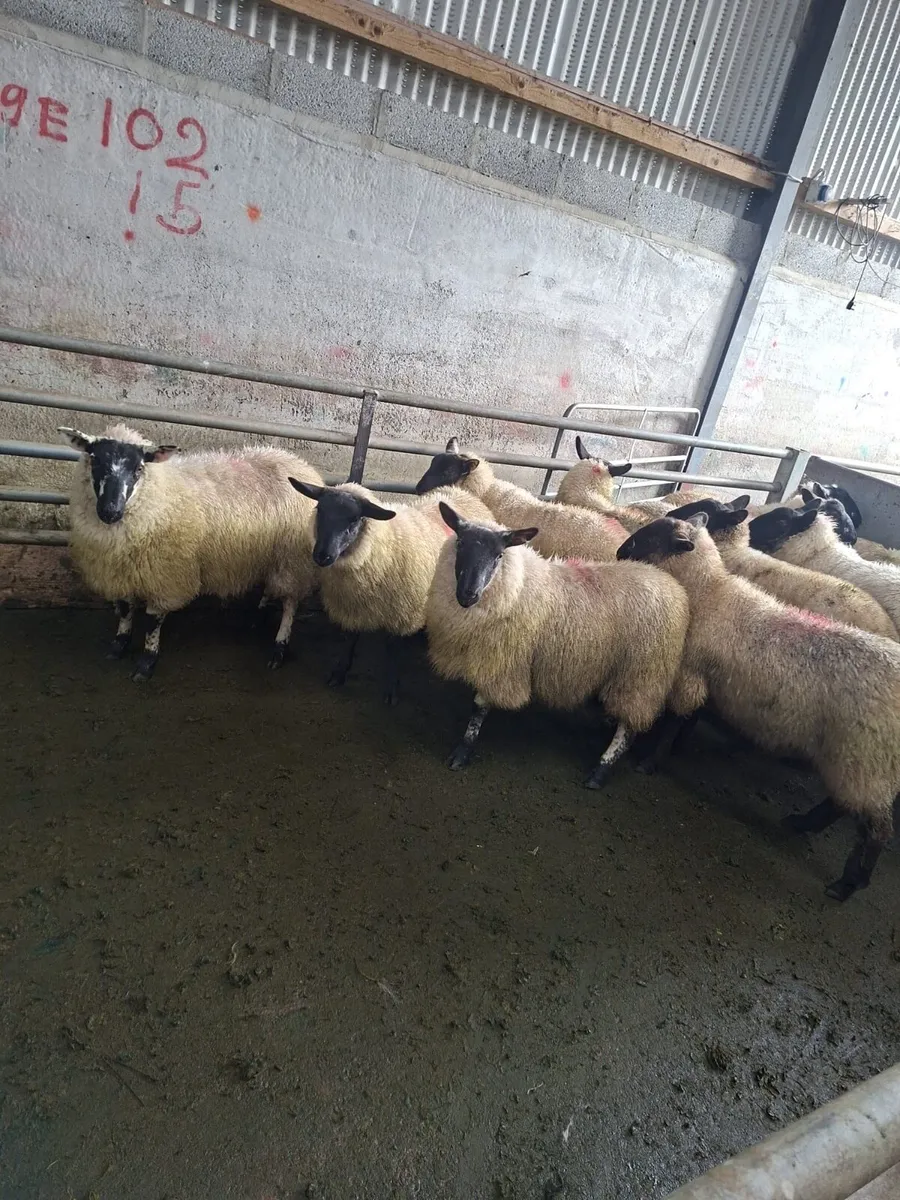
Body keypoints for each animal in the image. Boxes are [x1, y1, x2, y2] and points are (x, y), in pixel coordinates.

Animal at [61, 424, 322, 680]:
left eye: (139, 468)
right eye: (94, 461)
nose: (110, 511)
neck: (159, 494)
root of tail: (300, 464)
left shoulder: (165, 577)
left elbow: (152, 621)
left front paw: (146, 662)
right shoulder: (120, 572)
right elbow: (125, 610)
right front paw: (119, 644)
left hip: (293, 560)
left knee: (289, 603)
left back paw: (279, 647)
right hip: (274, 557)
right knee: (271, 587)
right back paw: (258, 617)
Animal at [287, 479, 494, 703]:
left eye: (355, 520)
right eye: (319, 510)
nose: (322, 555)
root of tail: (463, 494)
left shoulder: (401, 611)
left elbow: (393, 649)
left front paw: (391, 687)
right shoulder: (352, 606)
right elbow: (350, 639)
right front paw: (340, 672)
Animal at [424, 501, 689, 786]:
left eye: (499, 556)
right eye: (460, 543)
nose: (468, 594)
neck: (517, 587)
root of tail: (671, 585)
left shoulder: (502, 661)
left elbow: (479, 707)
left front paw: (463, 751)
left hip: (642, 672)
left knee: (629, 728)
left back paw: (600, 770)